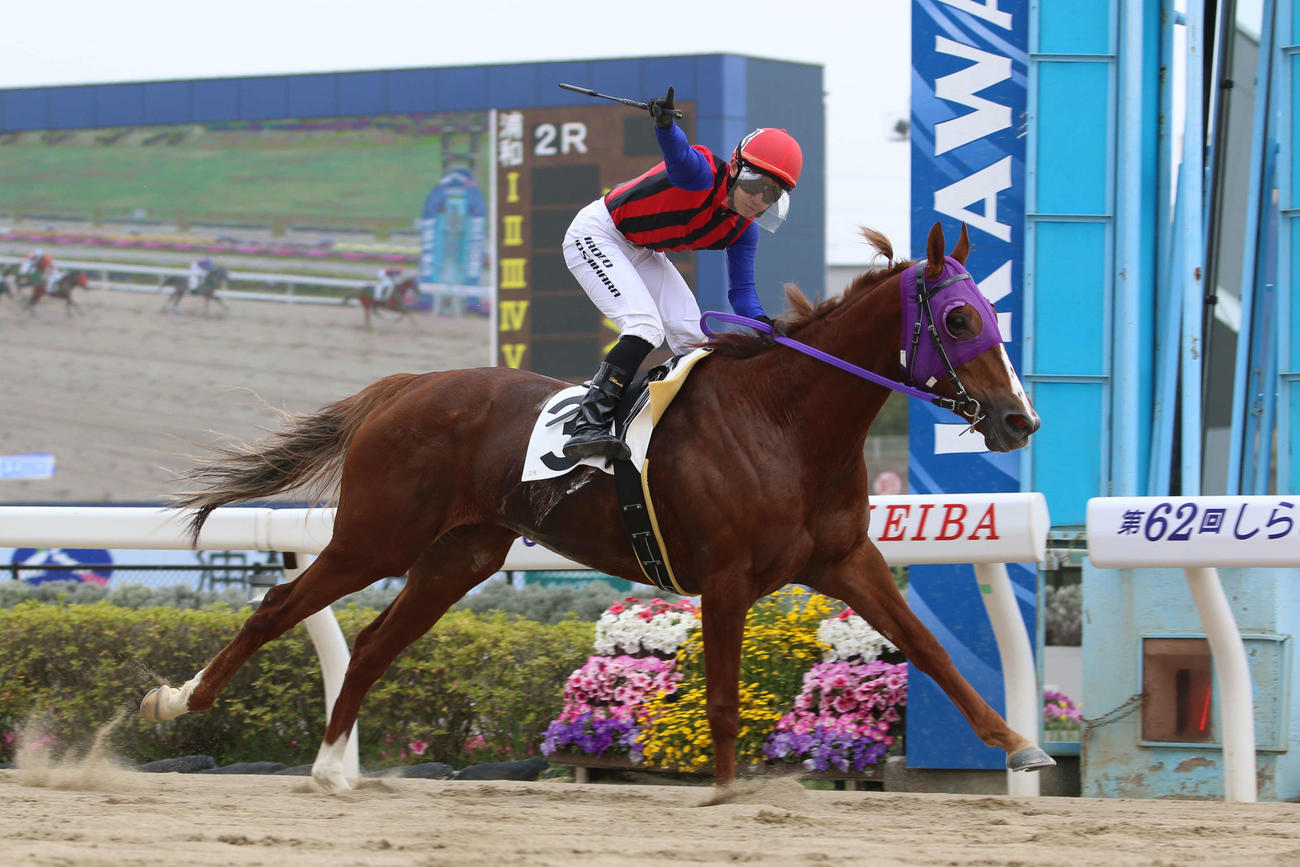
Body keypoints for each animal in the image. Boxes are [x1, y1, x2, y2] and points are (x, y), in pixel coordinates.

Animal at [141, 221, 1049, 793]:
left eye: (993, 314)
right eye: (960, 318)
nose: (1019, 420)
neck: (785, 423)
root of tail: (403, 386)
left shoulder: (845, 560)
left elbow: (930, 648)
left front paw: (1019, 745)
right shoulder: (725, 576)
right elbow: (723, 698)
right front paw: (728, 793)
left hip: (458, 555)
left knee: (368, 645)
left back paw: (332, 769)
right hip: (378, 535)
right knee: (278, 604)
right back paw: (176, 702)